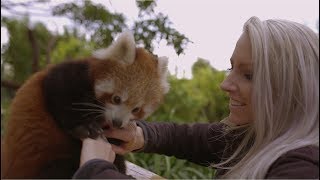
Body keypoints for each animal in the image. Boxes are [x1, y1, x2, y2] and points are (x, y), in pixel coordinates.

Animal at [1, 31, 171, 179]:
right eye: (116, 99)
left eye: (136, 109)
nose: (117, 122)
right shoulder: (70, 75)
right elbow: (60, 92)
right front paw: (85, 126)